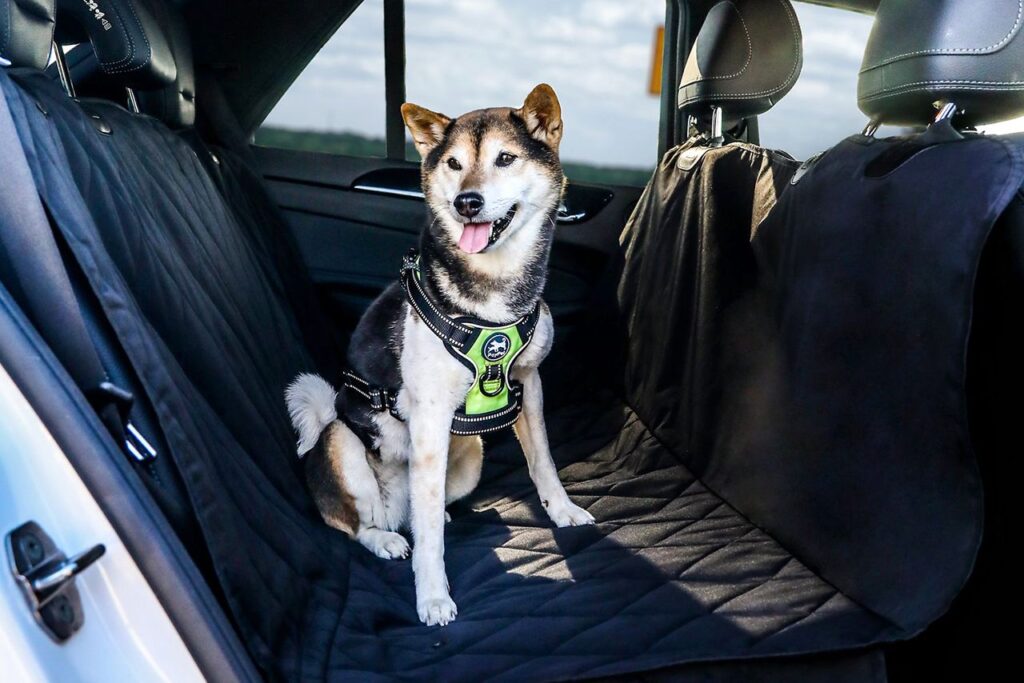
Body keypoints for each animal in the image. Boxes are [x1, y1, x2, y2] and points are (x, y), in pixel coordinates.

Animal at [286, 85, 593, 630]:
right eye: (453, 164)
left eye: (505, 159)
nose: (466, 202)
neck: (494, 293)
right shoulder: (429, 415)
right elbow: (428, 537)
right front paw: (432, 596)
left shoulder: (530, 382)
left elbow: (543, 460)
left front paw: (562, 511)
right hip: (342, 441)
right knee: (361, 524)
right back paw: (387, 538)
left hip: (470, 453)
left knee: (418, 510)